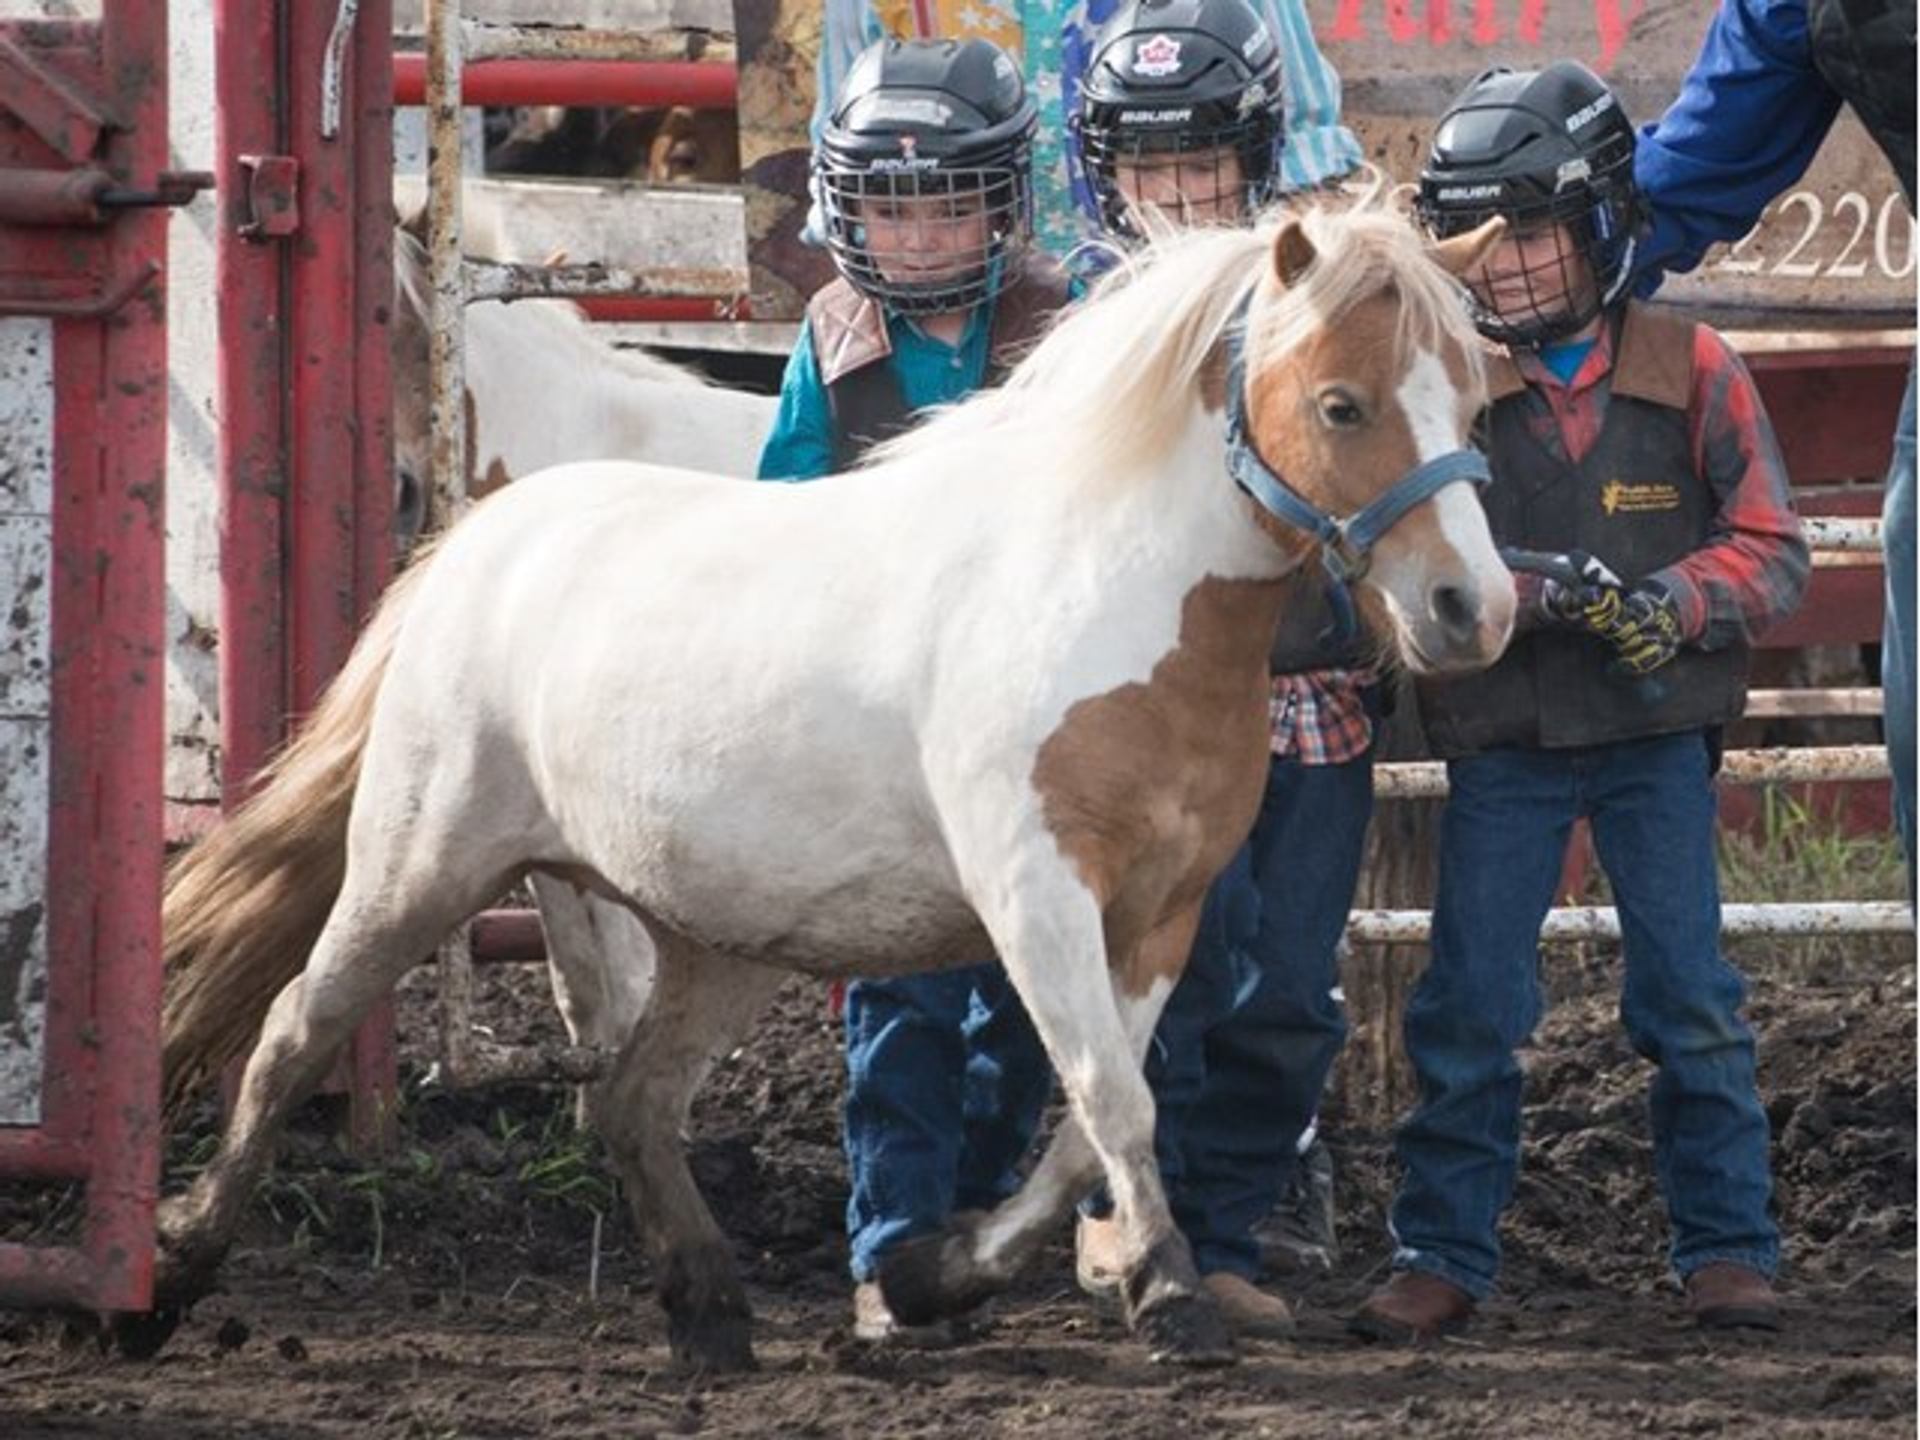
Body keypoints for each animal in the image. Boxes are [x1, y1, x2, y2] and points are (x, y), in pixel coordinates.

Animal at [146, 202, 1513, 1373]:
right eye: (1341, 404)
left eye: (1476, 400)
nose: (1474, 609)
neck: (1099, 590)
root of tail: (476, 544)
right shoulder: (1037, 898)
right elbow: (1114, 1103)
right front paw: (1170, 1297)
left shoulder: (1158, 917)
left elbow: (1083, 1129)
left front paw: (941, 1277)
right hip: (418, 867)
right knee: (293, 1034)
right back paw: (169, 1274)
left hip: (722, 938)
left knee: (634, 1099)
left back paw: (710, 1310)